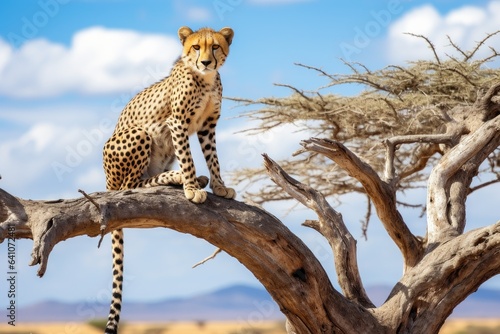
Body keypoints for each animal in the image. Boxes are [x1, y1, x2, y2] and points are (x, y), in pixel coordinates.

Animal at [101, 26, 236, 334]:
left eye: (215, 47)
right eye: (196, 47)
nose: (206, 62)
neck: (205, 79)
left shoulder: (208, 126)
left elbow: (212, 157)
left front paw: (219, 186)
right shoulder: (176, 123)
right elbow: (188, 158)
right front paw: (191, 188)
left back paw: (187, 179)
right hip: (140, 134)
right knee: (131, 186)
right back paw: (183, 179)